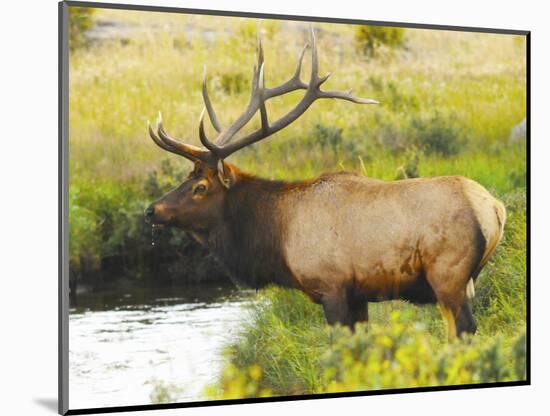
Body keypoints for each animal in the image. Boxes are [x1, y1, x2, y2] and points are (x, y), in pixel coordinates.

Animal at [144, 29, 506, 342]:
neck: (277, 237)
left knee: (464, 329)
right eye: (186, 178)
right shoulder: (359, 295)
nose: (150, 210)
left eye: (200, 187)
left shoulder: (331, 287)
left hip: (448, 273)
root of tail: (496, 209)